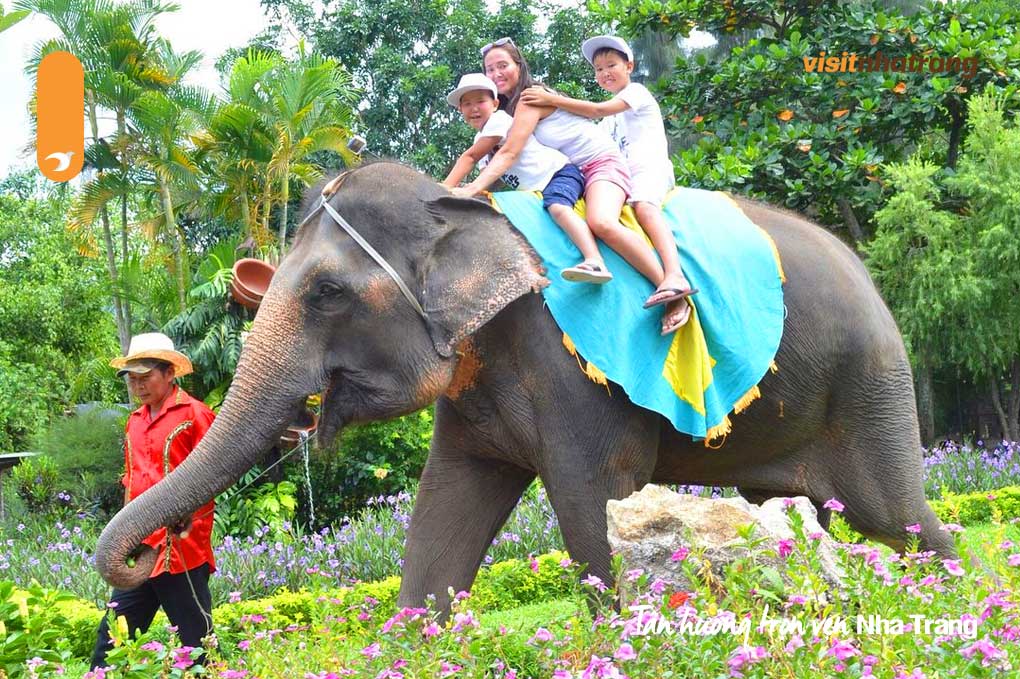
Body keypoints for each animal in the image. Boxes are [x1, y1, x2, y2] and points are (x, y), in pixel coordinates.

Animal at [95, 163, 954, 611]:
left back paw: (945, 602)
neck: (456, 209)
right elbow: (446, 506)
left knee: (896, 516)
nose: (147, 557)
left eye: (328, 295)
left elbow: (589, 502)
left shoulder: (568, 369)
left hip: (869, 383)